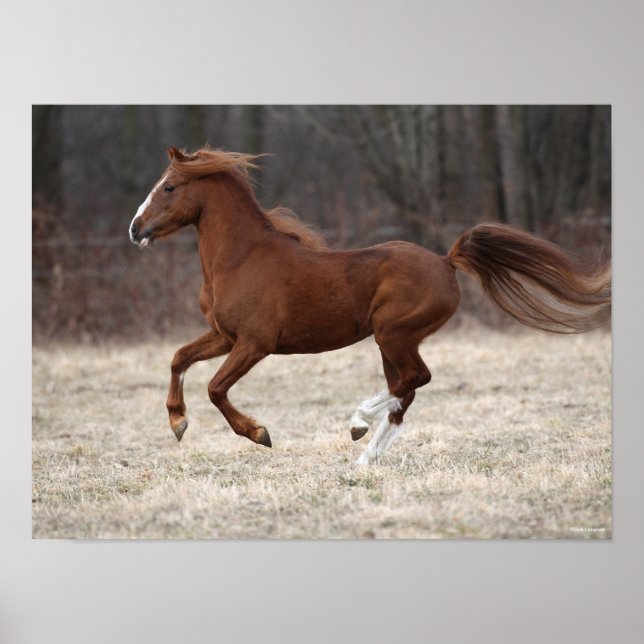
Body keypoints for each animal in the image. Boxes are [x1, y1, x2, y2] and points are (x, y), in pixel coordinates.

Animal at [129, 146, 611, 465]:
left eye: (168, 186)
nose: (135, 229)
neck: (241, 258)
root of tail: (446, 260)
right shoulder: (223, 335)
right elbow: (178, 358)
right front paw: (177, 423)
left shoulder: (254, 343)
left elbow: (215, 388)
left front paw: (258, 433)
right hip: (389, 341)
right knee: (406, 391)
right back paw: (364, 457)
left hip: (393, 334)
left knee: (416, 379)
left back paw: (358, 421)